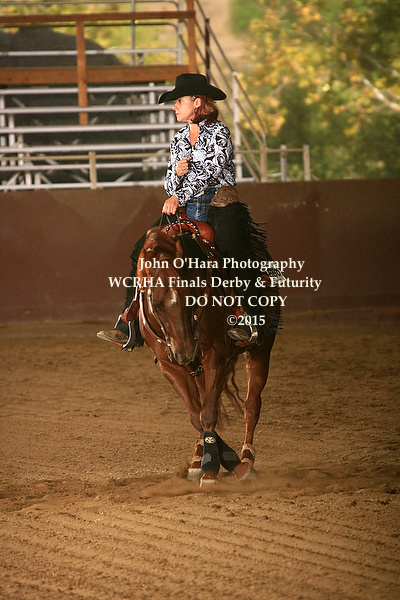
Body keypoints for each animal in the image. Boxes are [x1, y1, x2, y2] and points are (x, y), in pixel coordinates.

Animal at [133, 215, 280, 486]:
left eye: (189, 294)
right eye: (156, 304)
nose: (184, 351)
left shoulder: (215, 357)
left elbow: (208, 414)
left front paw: (217, 467)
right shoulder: (170, 366)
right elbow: (196, 415)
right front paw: (204, 462)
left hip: (261, 348)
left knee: (251, 405)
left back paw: (246, 458)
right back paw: (197, 457)